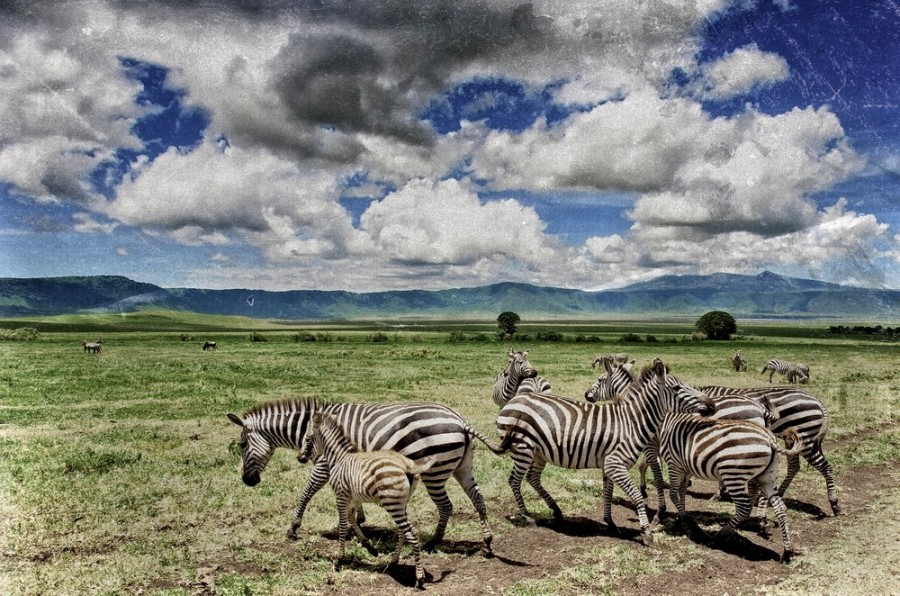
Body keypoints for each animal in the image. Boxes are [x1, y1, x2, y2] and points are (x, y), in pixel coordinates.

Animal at [225, 396, 506, 556]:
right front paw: (359, 521)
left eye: (241, 445)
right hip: (462, 467)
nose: (248, 481)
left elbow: (306, 493)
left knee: (446, 505)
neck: (312, 428)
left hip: (435, 472)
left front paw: (293, 528)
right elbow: (353, 498)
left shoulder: (324, 463)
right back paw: (487, 542)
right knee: (477, 498)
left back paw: (434, 542)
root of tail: (460, 421)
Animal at [298, 412, 436, 588]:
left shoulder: (341, 495)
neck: (339, 458)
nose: (299, 458)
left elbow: (342, 525)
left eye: (308, 438)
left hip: (393, 504)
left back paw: (419, 578)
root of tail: (407, 466)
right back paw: (393, 562)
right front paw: (369, 547)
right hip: (401, 503)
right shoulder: (355, 497)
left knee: (411, 533)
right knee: (404, 531)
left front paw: (339, 560)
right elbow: (352, 518)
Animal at [492, 358, 716, 544]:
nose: (712, 405)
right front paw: (646, 531)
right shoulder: (615, 463)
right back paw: (527, 515)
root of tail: (513, 401)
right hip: (523, 449)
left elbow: (608, 493)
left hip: (539, 452)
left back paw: (556, 510)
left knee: (532, 478)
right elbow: (636, 495)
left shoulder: (609, 465)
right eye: (677, 388)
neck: (632, 422)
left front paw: (610, 523)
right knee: (514, 480)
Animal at [652, 414, 800, 564]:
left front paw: (688, 522)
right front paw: (682, 517)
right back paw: (787, 552)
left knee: (744, 508)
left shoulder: (674, 464)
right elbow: (682, 491)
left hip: (733, 474)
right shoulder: (685, 467)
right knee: (780, 508)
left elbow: (673, 494)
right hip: (768, 477)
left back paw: (718, 537)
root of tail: (769, 437)